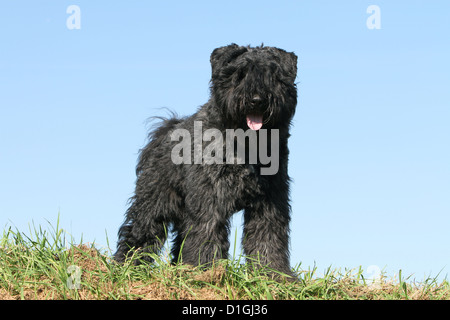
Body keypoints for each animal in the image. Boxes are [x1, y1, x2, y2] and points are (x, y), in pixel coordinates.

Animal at [116, 43, 298, 278]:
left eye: (272, 75)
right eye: (239, 74)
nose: (257, 100)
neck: (245, 145)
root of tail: (165, 131)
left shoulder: (270, 199)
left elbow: (268, 235)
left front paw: (273, 274)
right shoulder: (209, 195)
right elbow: (206, 231)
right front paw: (206, 271)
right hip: (155, 201)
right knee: (139, 231)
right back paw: (127, 267)